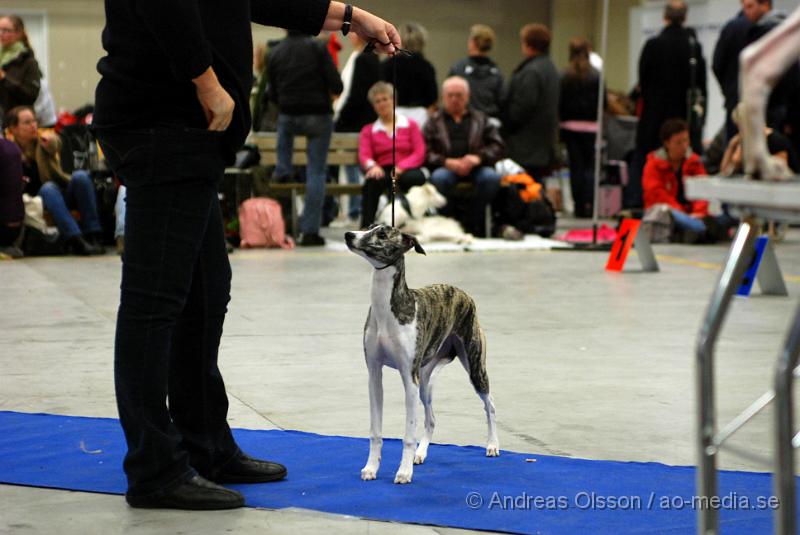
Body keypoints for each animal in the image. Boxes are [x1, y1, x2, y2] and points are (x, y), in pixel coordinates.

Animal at [346, 224, 500, 484]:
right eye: (368, 227)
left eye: (382, 234)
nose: (349, 235)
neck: (387, 310)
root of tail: (461, 292)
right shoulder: (375, 374)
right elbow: (376, 431)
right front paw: (371, 468)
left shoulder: (409, 379)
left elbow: (408, 433)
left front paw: (404, 472)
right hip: (425, 382)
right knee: (431, 418)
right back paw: (421, 453)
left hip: (474, 368)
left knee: (490, 405)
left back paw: (492, 445)